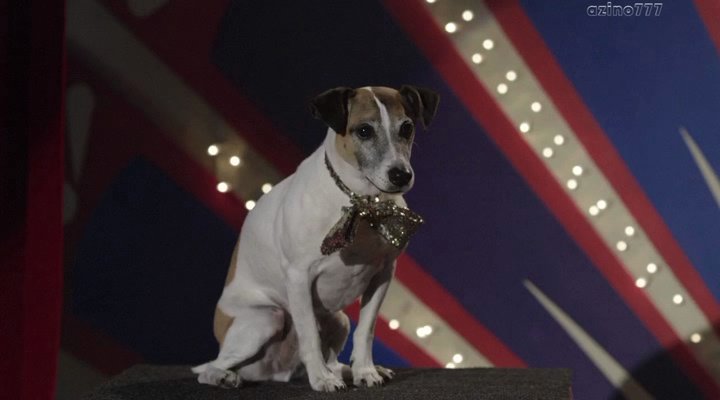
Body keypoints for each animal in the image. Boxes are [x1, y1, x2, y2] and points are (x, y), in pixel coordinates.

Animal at [192, 85, 439, 392]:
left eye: (407, 128)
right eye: (364, 131)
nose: (401, 175)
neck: (362, 202)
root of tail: (277, 372)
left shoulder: (383, 274)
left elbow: (366, 330)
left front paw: (365, 371)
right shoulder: (299, 276)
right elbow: (308, 333)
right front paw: (322, 379)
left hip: (338, 319)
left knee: (333, 358)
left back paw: (347, 371)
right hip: (265, 318)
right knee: (208, 367)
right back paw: (224, 376)